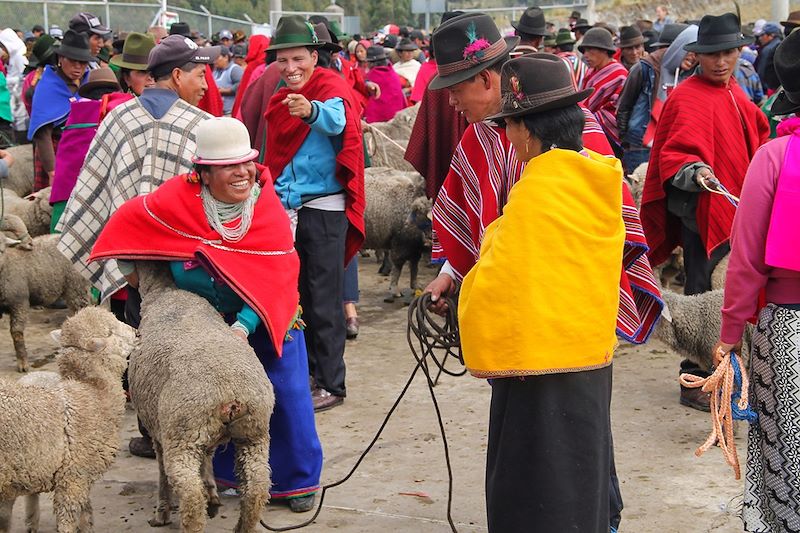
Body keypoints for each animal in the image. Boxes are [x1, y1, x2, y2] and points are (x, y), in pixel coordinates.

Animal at [0, 306, 136, 532]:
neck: (93, 392)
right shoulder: (74, 476)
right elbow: (67, 520)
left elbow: (86, 511)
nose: (136, 332)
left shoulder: (80, 477)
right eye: (110, 332)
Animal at [131, 262, 276, 532]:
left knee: (190, 495)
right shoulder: (203, 435)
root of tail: (231, 395)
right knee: (257, 486)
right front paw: (212, 493)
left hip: (182, 433)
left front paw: (161, 512)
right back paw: (242, 526)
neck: (163, 291)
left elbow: (161, 472)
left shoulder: (158, 429)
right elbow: (207, 458)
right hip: (254, 432)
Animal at [366, 168, 434, 302]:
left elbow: (414, 267)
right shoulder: (399, 243)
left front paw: (415, 286)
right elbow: (397, 267)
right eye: (424, 219)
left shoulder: (414, 247)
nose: (428, 241)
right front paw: (394, 289)